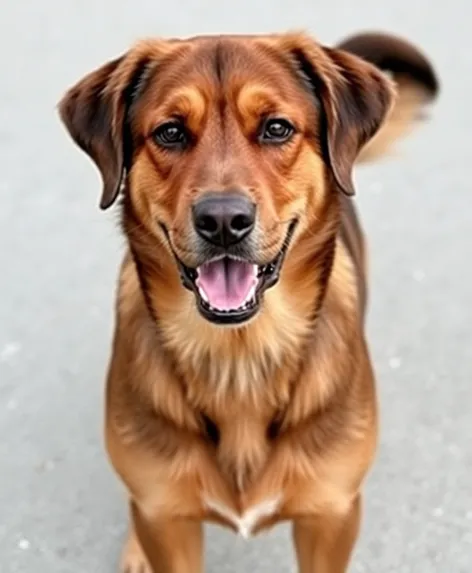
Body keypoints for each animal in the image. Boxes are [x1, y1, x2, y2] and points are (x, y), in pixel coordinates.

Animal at [58, 29, 438, 568]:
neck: (238, 359)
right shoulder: (167, 522)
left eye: (276, 128)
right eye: (170, 133)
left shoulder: (332, 517)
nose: (222, 221)